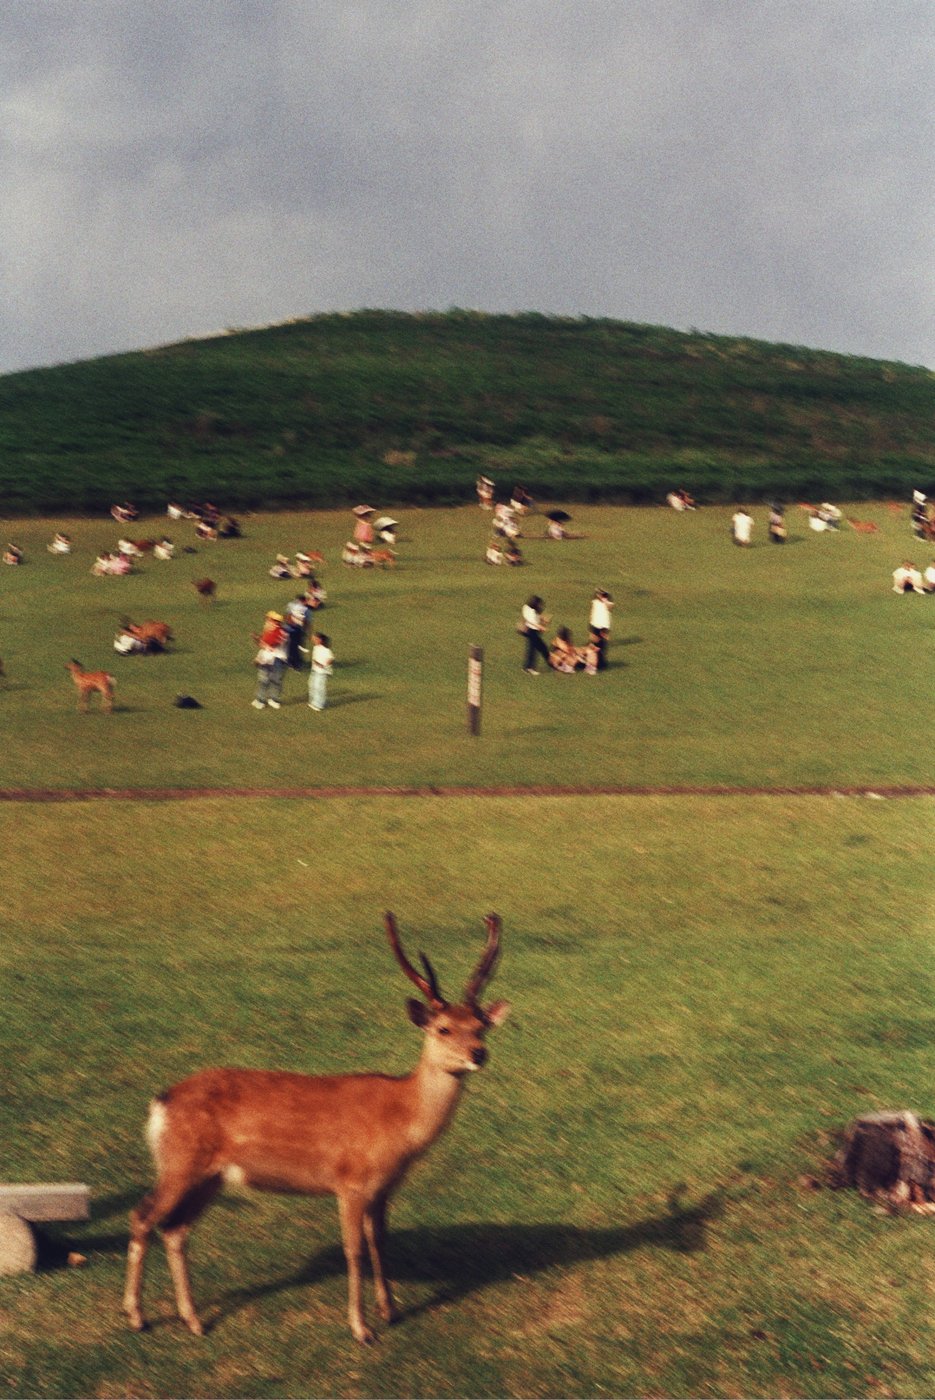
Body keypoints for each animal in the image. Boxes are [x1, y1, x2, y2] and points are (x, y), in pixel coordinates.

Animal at [123, 912, 510, 1344]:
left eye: (481, 1025)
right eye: (443, 1028)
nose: (478, 1053)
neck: (400, 1125)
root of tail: (161, 1103)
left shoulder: (383, 1188)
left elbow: (380, 1243)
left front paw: (390, 1311)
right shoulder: (350, 1181)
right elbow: (354, 1250)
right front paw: (361, 1328)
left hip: (210, 1176)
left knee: (175, 1229)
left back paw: (193, 1320)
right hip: (179, 1163)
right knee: (142, 1216)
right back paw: (136, 1316)